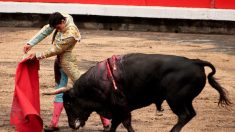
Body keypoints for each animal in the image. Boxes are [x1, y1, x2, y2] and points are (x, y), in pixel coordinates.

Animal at [56, 53, 230, 132]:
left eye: (68, 104)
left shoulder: (121, 108)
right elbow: (116, 125)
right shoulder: (118, 110)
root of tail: (195, 61)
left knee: (184, 115)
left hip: (175, 100)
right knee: (191, 114)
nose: (71, 125)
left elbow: (124, 124)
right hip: (185, 100)